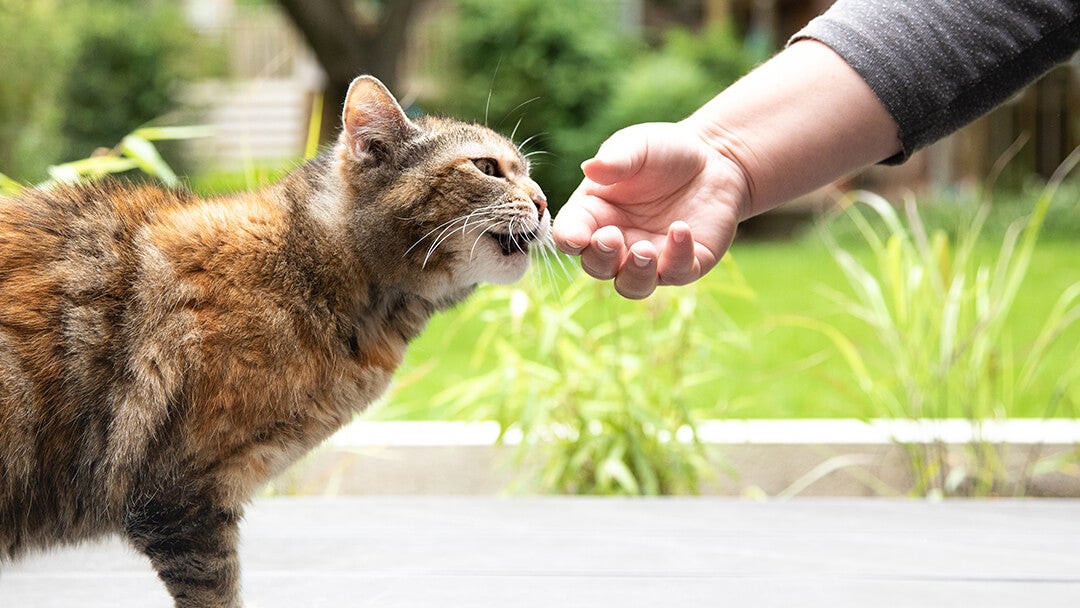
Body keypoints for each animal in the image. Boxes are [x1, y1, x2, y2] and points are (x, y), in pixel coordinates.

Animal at [0, 75, 552, 604]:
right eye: (487, 167)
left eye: (527, 171)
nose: (545, 201)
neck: (307, 269)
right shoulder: (183, 500)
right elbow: (217, 595)